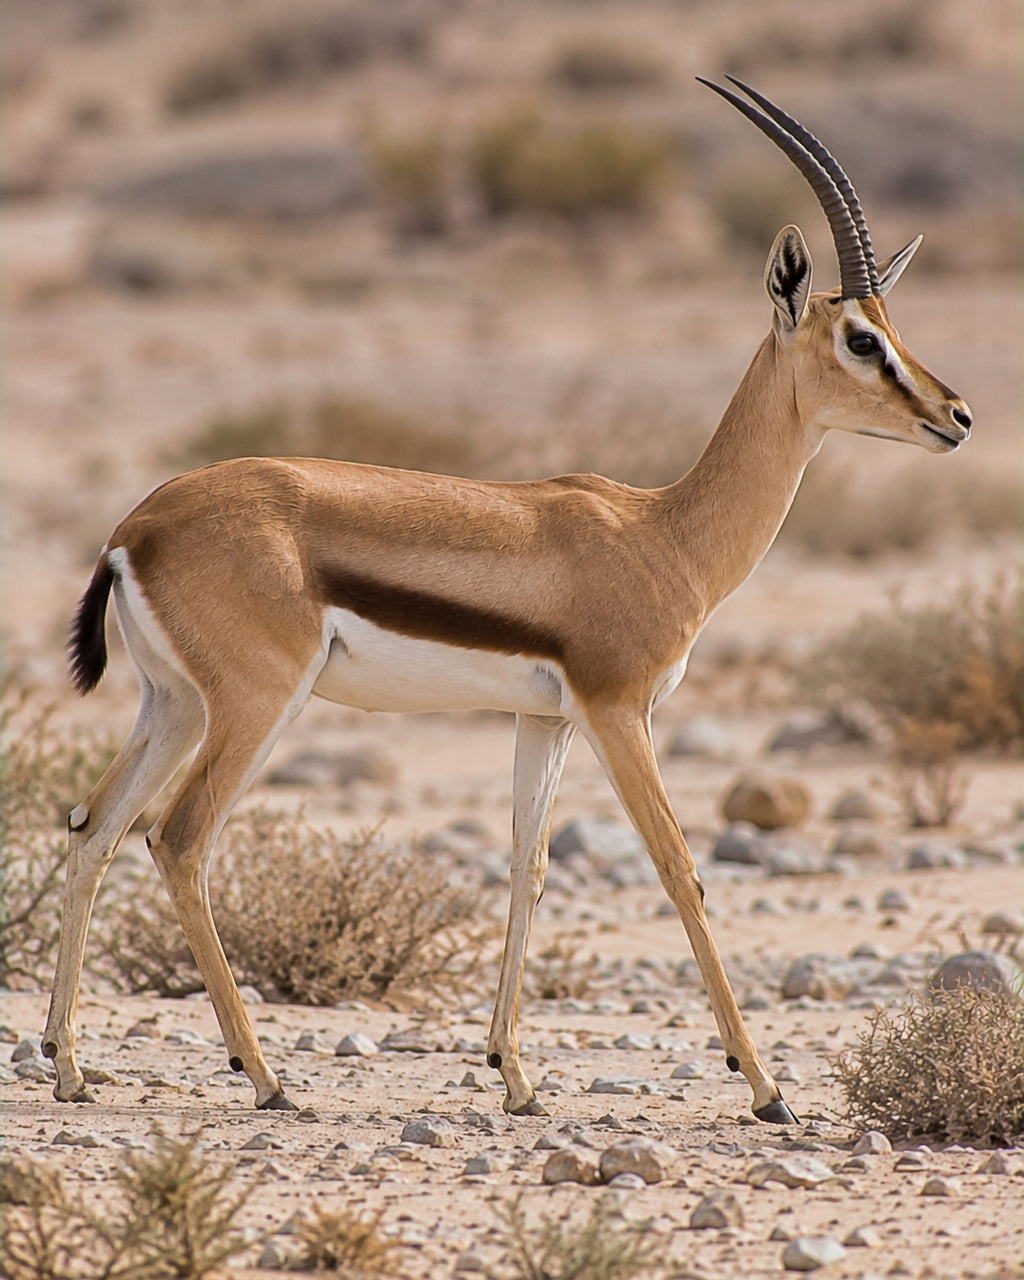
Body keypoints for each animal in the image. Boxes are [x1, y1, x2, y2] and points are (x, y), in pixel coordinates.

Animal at [43, 78, 971, 1126]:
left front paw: (517, 1076)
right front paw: (766, 1087)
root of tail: (136, 525)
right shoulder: (620, 712)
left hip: (172, 706)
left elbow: (528, 867)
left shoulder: (547, 721)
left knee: (94, 826)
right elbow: (679, 868)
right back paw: (267, 1077)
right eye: (862, 339)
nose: (957, 416)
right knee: (179, 838)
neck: (664, 533)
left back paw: (70, 1065)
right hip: (252, 706)